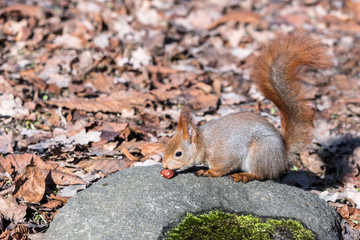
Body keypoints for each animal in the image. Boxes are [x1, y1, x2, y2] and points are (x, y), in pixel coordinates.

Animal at [162, 33, 330, 182]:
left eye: (178, 153)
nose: (164, 165)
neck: (204, 143)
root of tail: (282, 158)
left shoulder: (225, 155)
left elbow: (222, 168)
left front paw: (207, 172)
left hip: (259, 153)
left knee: (261, 174)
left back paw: (244, 175)